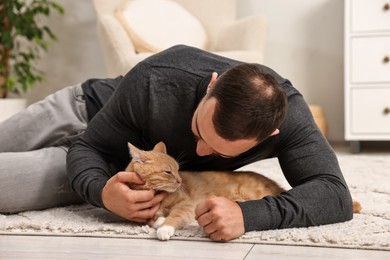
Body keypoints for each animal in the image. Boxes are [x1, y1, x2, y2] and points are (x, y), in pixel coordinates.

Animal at [126, 141, 362, 241]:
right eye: (168, 172)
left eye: (177, 169)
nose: (179, 180)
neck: (159, 195)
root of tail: (276, 185)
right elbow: (151, 217)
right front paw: (157, 220)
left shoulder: (187, 205)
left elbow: (174, 217)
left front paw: (164, 228)